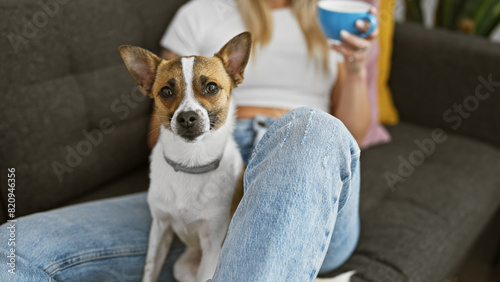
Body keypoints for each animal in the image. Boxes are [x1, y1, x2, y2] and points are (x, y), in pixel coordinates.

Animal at [117, 31, 250, 282]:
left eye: (211, 88)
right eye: (166, 92)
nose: (187, 117)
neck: (191, 163)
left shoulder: (211, 246)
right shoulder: (160, 230)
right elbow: (150, 270)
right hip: (181, 267)